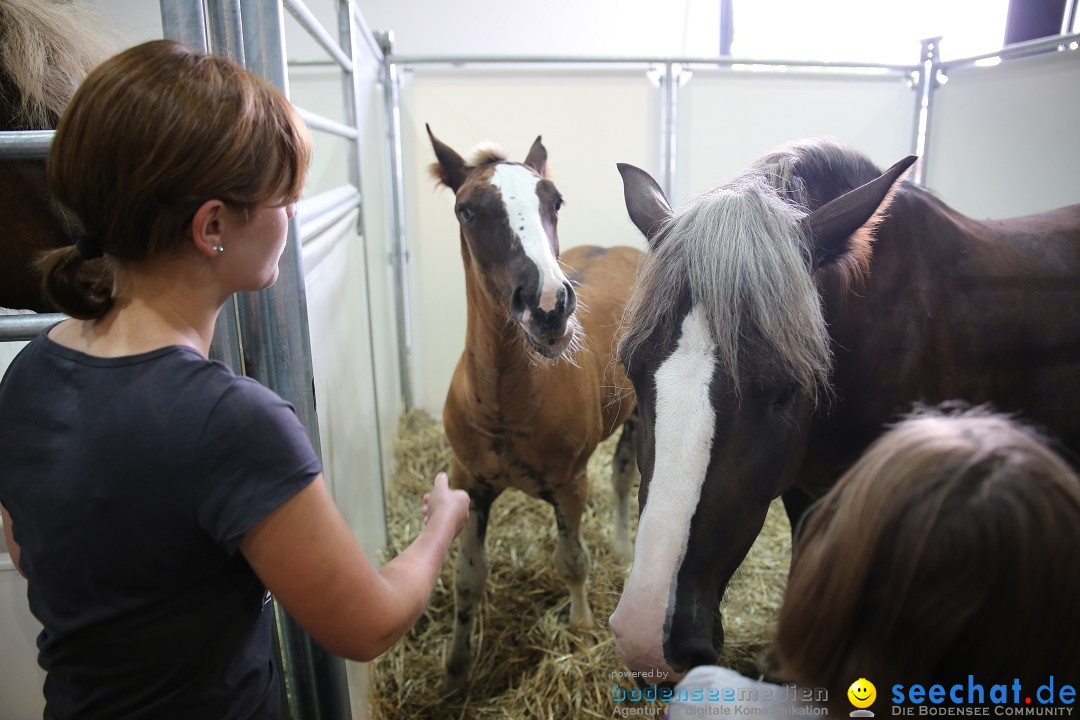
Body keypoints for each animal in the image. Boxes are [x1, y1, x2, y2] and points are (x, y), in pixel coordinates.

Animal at [423, 127, 639, 690]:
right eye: (467, 211)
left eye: (554, 201)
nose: (548, 306)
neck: (507, 403)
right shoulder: (469, 482)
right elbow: (467, 578)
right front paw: (456, 668)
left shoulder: (570, 484)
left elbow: (573, 562)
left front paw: (582, 628)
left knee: (624, 475)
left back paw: (624, 549)